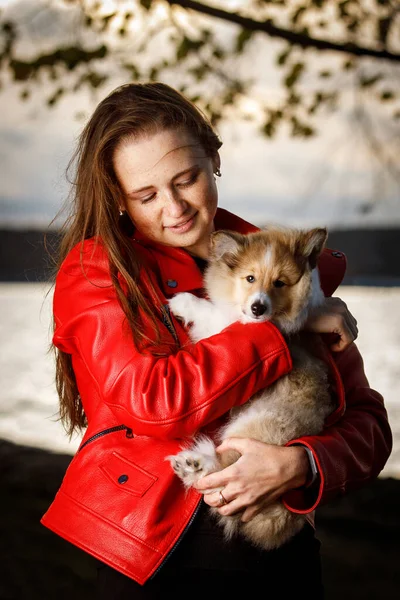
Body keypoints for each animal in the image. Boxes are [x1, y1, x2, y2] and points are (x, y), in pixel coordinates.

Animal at [166, 227, 334, 552]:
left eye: (280, 282)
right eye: (250, 278)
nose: (258, 308)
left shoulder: (229, 328)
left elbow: (211, 313)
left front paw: (182, 302)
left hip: (252, 430)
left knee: (224, 470)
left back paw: (195, 464)